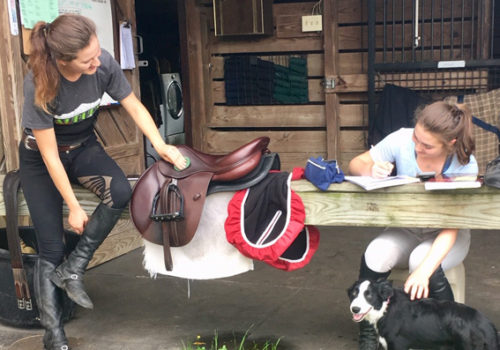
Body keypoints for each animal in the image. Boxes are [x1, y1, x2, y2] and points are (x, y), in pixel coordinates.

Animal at [348, 278, 500, 350]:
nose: (354, 309)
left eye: (369, 295)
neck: (385, 308)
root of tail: (486, 324)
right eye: (354, 293)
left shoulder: (398, 345)